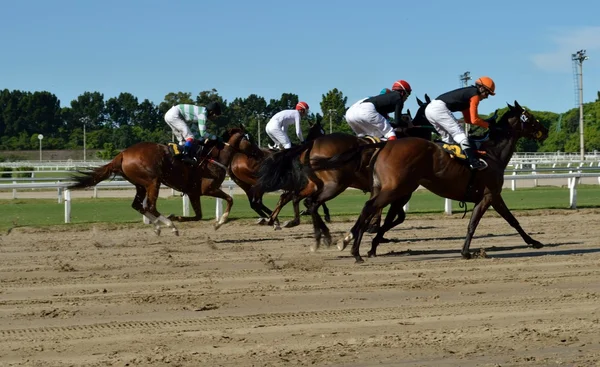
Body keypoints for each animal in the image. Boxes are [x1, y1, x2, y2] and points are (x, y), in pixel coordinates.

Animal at [68, 128, 251, 234]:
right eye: (249, 139)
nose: (255, 151)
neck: (214, 157)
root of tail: (122, 154)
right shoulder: (208, 189)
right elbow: (230, 199)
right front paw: (220, 222)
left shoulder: (193, 193)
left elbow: (198, 215)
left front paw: (179, 217)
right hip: (153, 181)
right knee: (150, 206)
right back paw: (169, 225)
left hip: (140, 184)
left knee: (138, 205)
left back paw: (158, 225)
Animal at [330, 102, 552, 264]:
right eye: (530, 117)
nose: (545, 130)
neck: (492, 154)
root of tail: (384, 145)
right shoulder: (490, 195)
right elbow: (478, 223)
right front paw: (465, 252)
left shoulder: (491, 196)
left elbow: (509, 220)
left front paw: (534, 242)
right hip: (394, 189)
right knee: (369, 207)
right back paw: (354, 249)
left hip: (385, 188)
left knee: (370, 211)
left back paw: (356, 245)